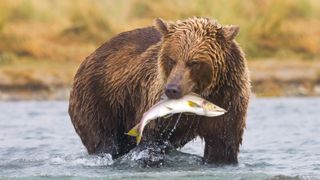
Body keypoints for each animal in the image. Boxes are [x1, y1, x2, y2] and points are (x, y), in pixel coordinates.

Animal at [69, 16, 251, 165]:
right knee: (104, 141)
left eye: (194, 62)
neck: (206, 92)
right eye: (172, 59)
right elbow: (151, 140)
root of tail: (90, 56)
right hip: (100, 100)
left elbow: (223, 145)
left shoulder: (230, 99)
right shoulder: (154, 100)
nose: (172, 89)